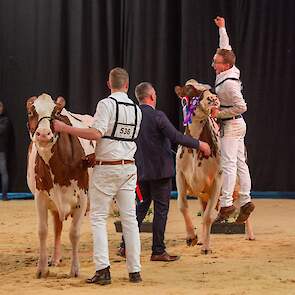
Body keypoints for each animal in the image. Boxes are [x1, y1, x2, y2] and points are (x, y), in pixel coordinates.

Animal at [26, 93, 94, 278]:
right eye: (30, 112)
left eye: (55, 113)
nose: (43, 134)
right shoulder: (40, 196)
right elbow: (43, 231)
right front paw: (42, 268)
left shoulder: (82, 197)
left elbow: (74, 233)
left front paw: (75, 269)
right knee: (57, 227)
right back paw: (55, 258)